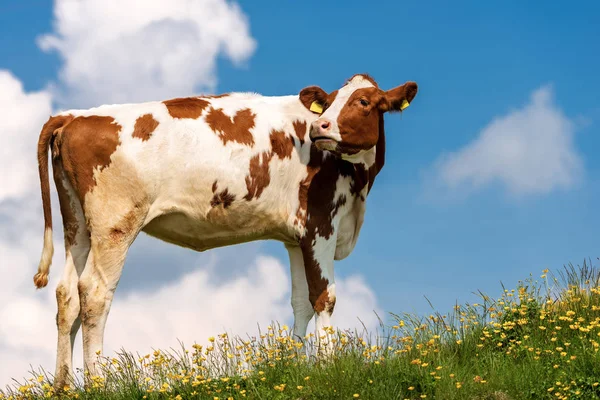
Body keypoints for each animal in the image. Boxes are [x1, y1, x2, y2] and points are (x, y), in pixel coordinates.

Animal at [32, 73, 418, 386]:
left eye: (363, 101)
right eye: (332, 99)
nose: (320, 128)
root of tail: (74, 115)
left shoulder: (295, 238)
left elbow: (300, 302)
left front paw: (297, 365)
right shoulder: (320, 224)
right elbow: (324, 297)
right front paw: (326, 367)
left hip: (78, 225)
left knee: (67, 294)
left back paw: (63, 386)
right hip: (115, 223)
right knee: (94, 294)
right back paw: (99, 384)